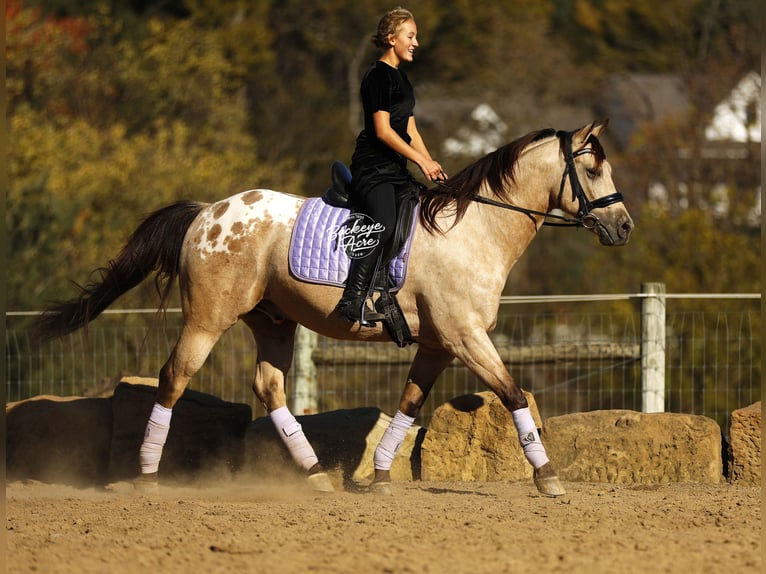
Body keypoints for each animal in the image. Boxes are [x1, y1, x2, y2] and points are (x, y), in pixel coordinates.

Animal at [35, 120, 633, 497]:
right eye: (593, 172)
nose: (624, 227)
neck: (476, 229)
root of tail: (207, 212)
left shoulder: (439, 344)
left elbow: (410, 403)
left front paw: (381, 476)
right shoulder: (465, 338)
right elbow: (512, 393)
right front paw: (547, 476)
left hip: (273, 322)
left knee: (270, 387)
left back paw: (316, 474)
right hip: (208, 318)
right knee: (173, 377)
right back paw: (147, 476)